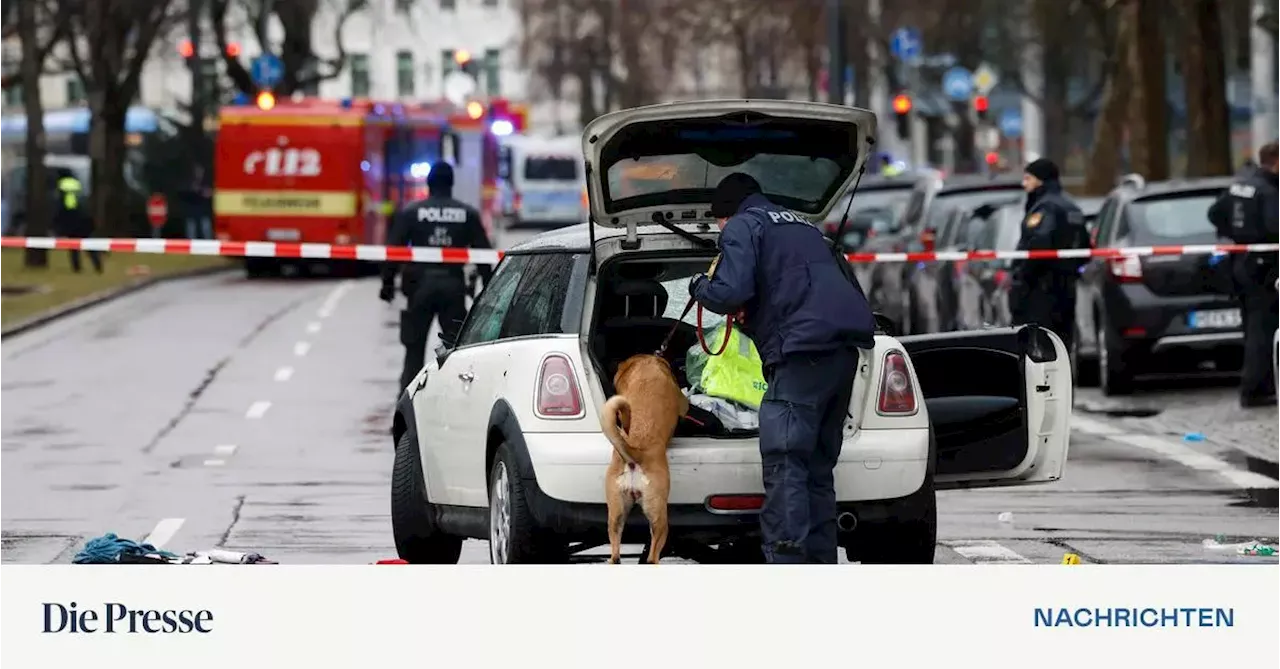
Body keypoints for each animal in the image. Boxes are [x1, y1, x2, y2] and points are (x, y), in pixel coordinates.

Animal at [599, 353, 691, 562]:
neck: (645, 364)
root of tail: (635, 454)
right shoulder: (683, 404)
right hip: (659, 519)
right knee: (652, 557)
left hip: (615, 515)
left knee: (615, 555)